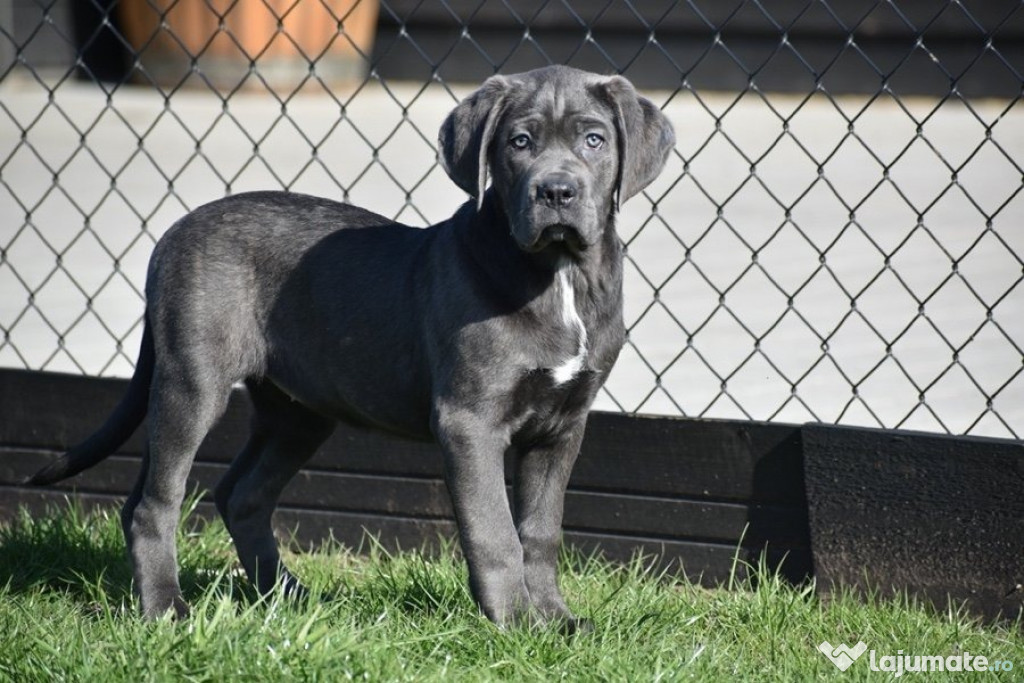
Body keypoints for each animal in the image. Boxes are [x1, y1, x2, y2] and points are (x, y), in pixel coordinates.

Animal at [29, 65, 671, 630]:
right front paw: (514, 623)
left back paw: (287, 597)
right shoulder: (470, 421)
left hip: (298, 411)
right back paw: (166, 609)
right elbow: (495, 532)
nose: (556, 191)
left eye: (594, 139)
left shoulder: (563, 425)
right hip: (193, 382)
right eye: (519, 142)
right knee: (153, 504)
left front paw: (557, 621)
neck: (559, 274)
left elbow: (540, 531)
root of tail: (170, 234)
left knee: (241, 494)